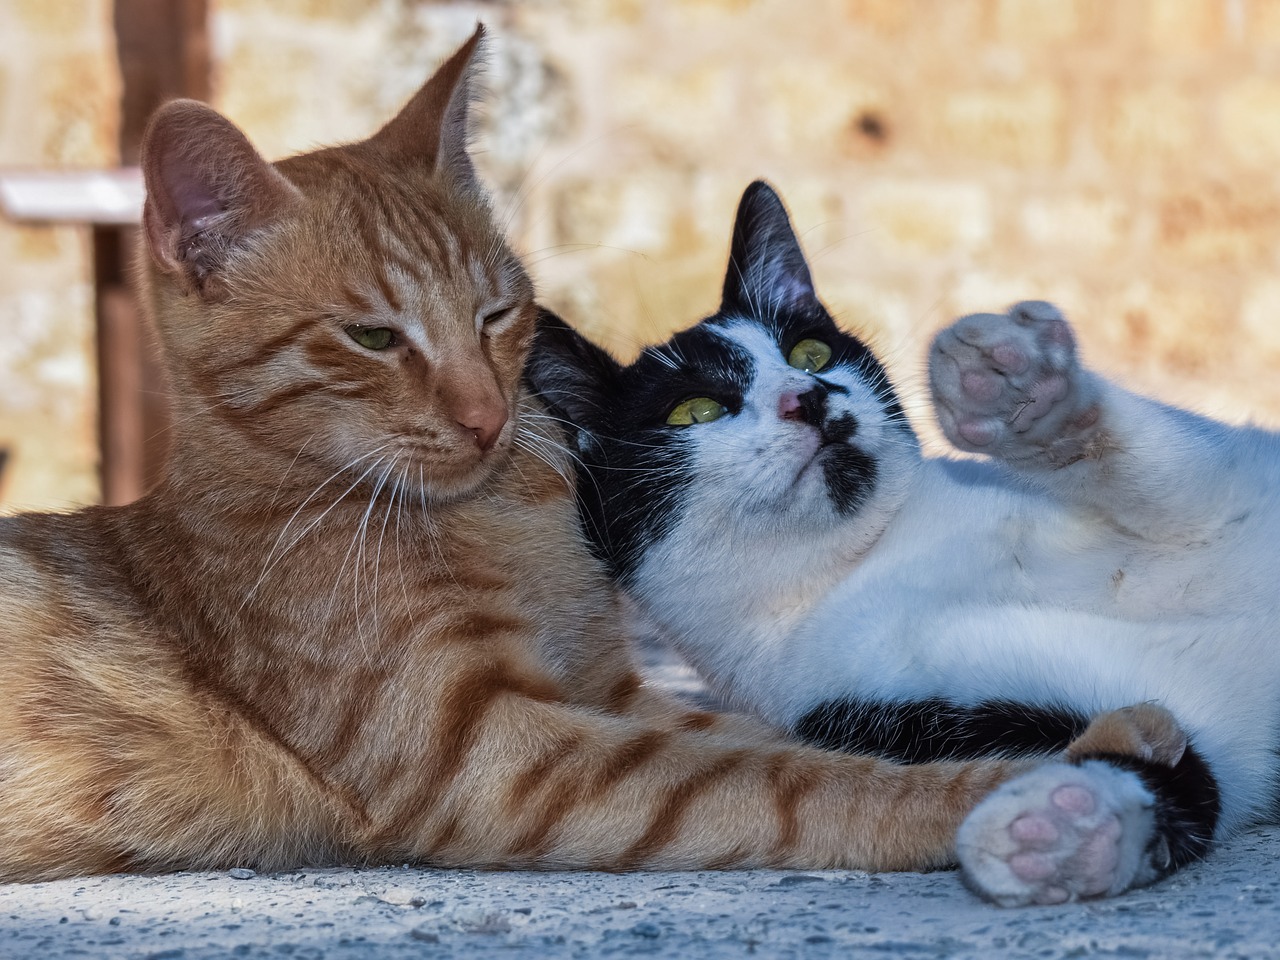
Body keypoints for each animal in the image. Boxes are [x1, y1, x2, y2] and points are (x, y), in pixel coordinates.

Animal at [0, 28, 1172, 885]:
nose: (486, 415)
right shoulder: (502, 756)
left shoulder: (613, 693)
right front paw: (1035, 778)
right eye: (372, 337)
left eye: (496, 314)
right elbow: (799, 782)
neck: (493, 509)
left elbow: (769, 740)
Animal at [524, 181, 1274, 911]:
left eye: (811, 353)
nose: (810, 396)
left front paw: (1023, 396)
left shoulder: (1230, 484)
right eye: (696, 410)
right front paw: (1060, 826)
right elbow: (1171, 764)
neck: (878, 559)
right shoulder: (886, 710)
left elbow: (1172, 475)